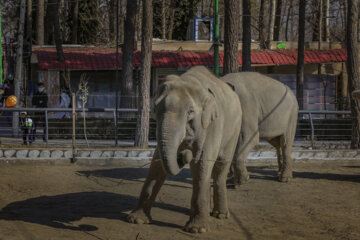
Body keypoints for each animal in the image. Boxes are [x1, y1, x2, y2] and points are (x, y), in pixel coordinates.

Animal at [126, 65, 242, 232]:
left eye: (190, 112)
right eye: (155, 108)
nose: (183, 155)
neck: (189, 79)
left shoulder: (213, 124)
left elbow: (200, 162)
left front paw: (196, 229)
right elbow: (157, 163)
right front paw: (136, 220)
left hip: (235, 129)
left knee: (221, 166)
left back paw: (220, 215)